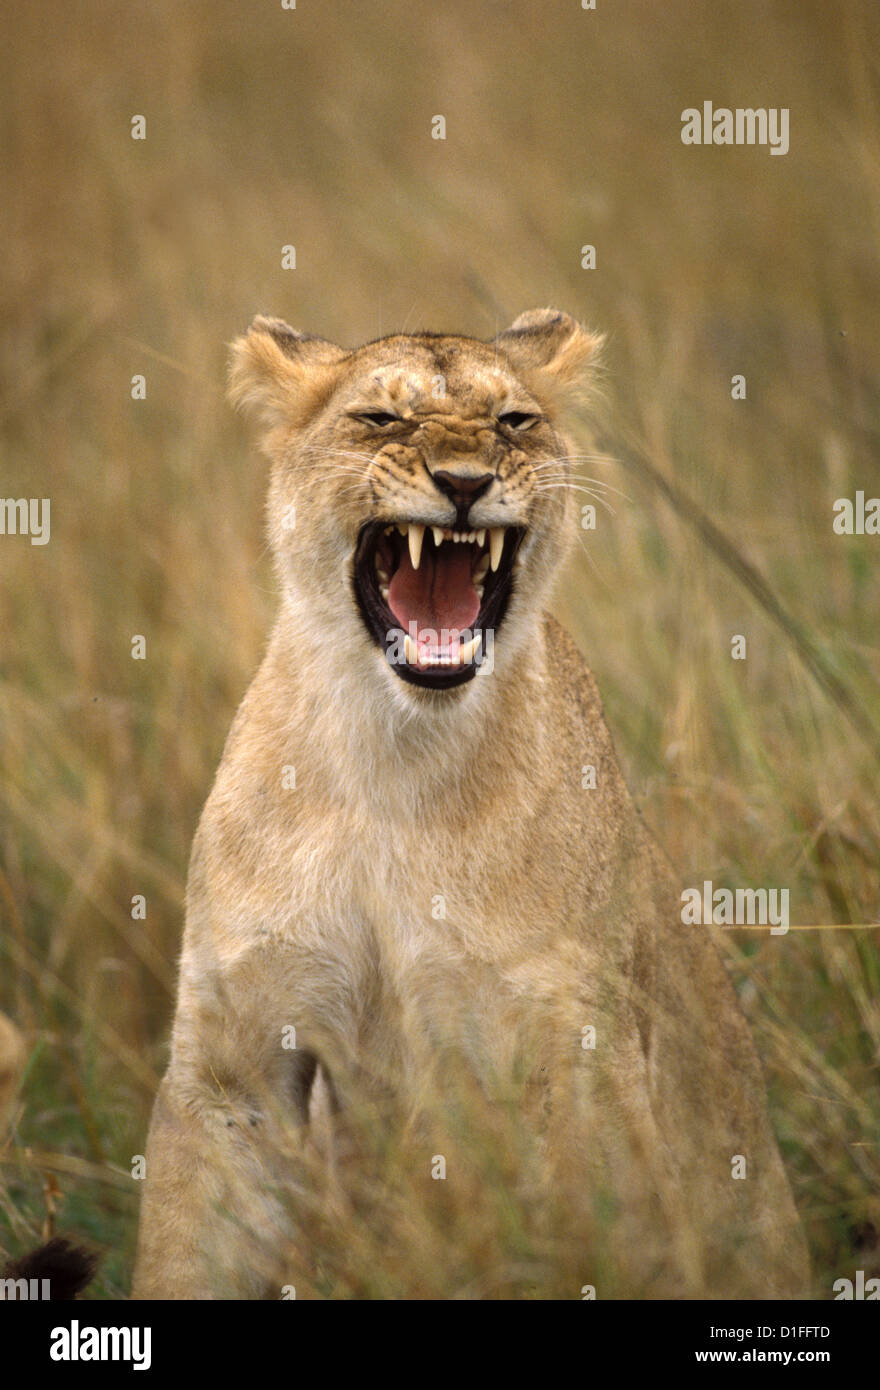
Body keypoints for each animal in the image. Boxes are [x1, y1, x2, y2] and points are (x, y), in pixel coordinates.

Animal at [132, 309, 808, 1299]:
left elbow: (594, 1236)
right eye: (381, 418)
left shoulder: (578, 1053)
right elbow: (185, 1252)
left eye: (513, 422)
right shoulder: (234, 1068)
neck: (392, 758)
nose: (463, 482)